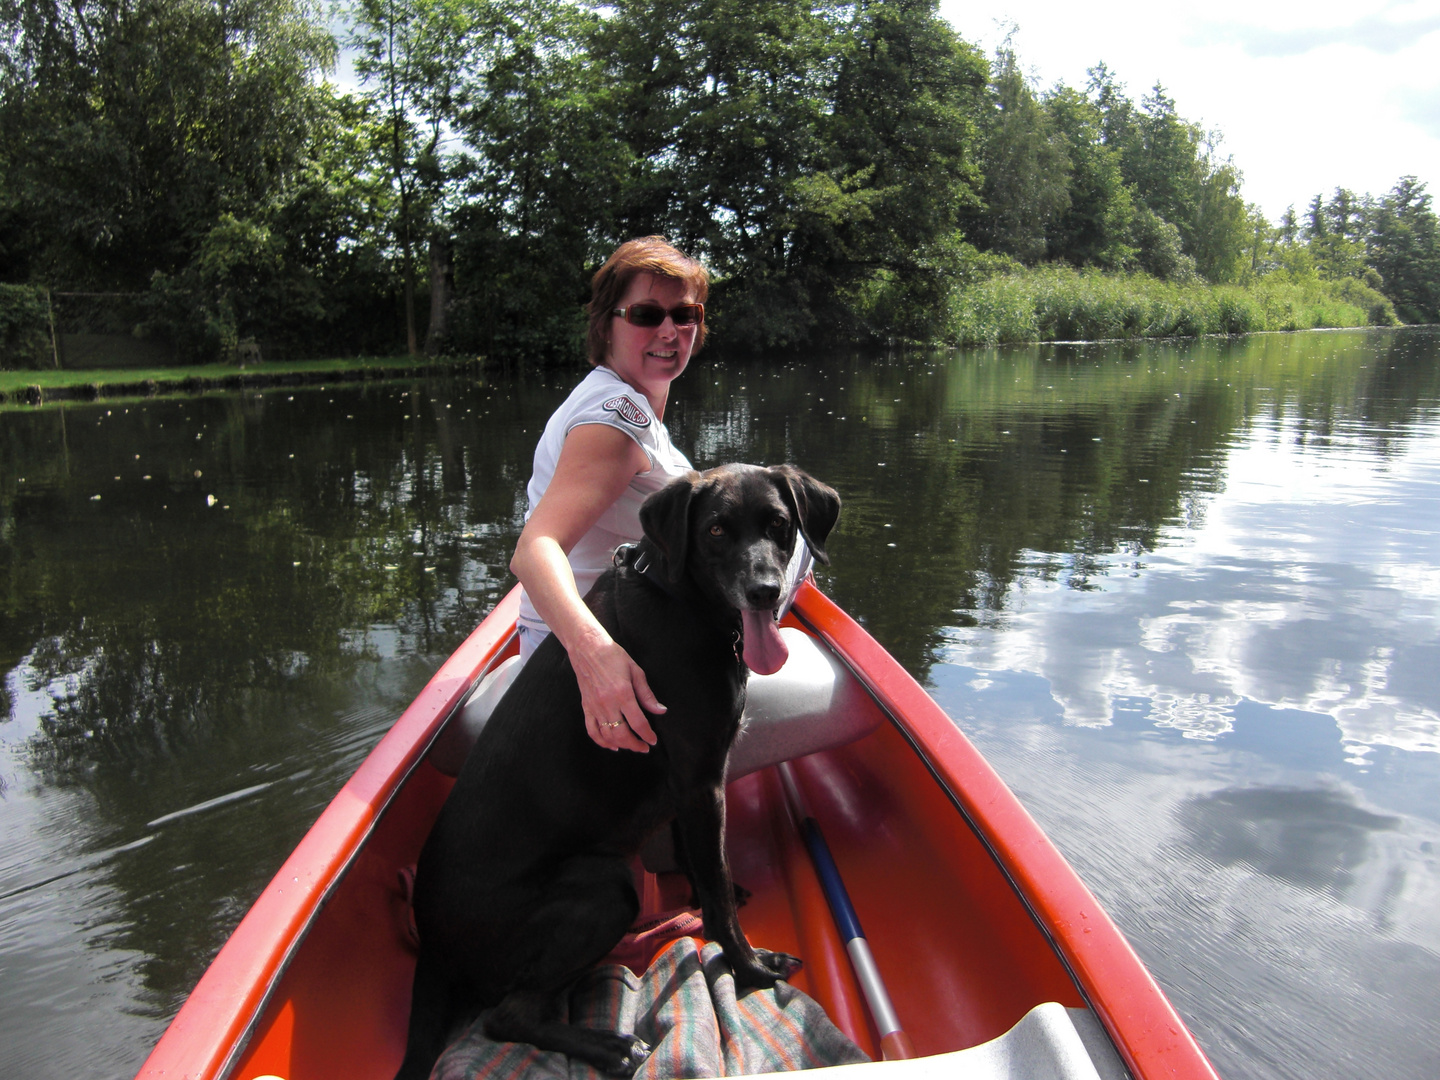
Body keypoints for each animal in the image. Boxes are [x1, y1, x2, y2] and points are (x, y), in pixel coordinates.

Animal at [394, 463, 840, 1080]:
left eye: (778, 523)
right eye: (716, 530)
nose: (766, 591)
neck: (682, 599)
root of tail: (431, 948)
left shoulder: (690, 784)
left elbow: (702, 869)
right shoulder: (702, 781)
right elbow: (719, 896)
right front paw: (750, 967)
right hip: (606, 886)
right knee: (506, 1017)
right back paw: (611, 1048)